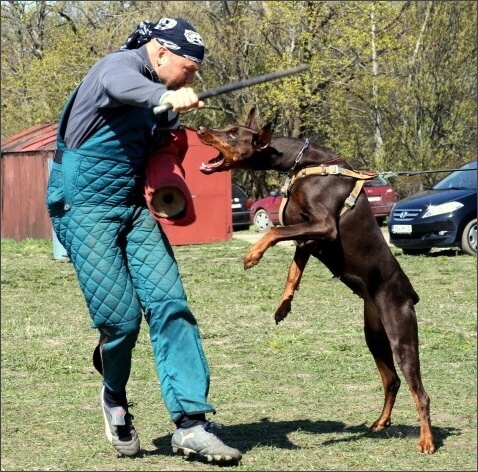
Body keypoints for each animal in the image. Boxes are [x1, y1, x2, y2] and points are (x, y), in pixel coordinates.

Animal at [196, 107, 436, 454]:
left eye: (232, 133)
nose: (199, 127)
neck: (302, 164)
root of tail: (409, 293)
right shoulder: (307, 239)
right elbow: (293, 270)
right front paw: (283, 305)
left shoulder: (323, 227)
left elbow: (273, 231)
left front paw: (253, 254)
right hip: (373, 334)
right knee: (391, 379)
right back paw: (380, 423)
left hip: (400, 332)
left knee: (420, 392)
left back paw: (427, 440)